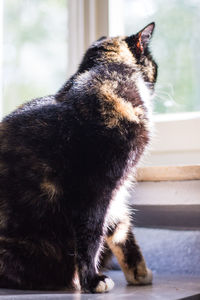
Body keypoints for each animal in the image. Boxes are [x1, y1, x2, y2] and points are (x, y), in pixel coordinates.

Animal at [0, 22, 157, 292]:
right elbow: (91, 235)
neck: (106, 71)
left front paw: (140, 274)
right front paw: (92, 281)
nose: (156, 74)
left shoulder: (117, 191)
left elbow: (121, 230)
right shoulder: (95, 188)